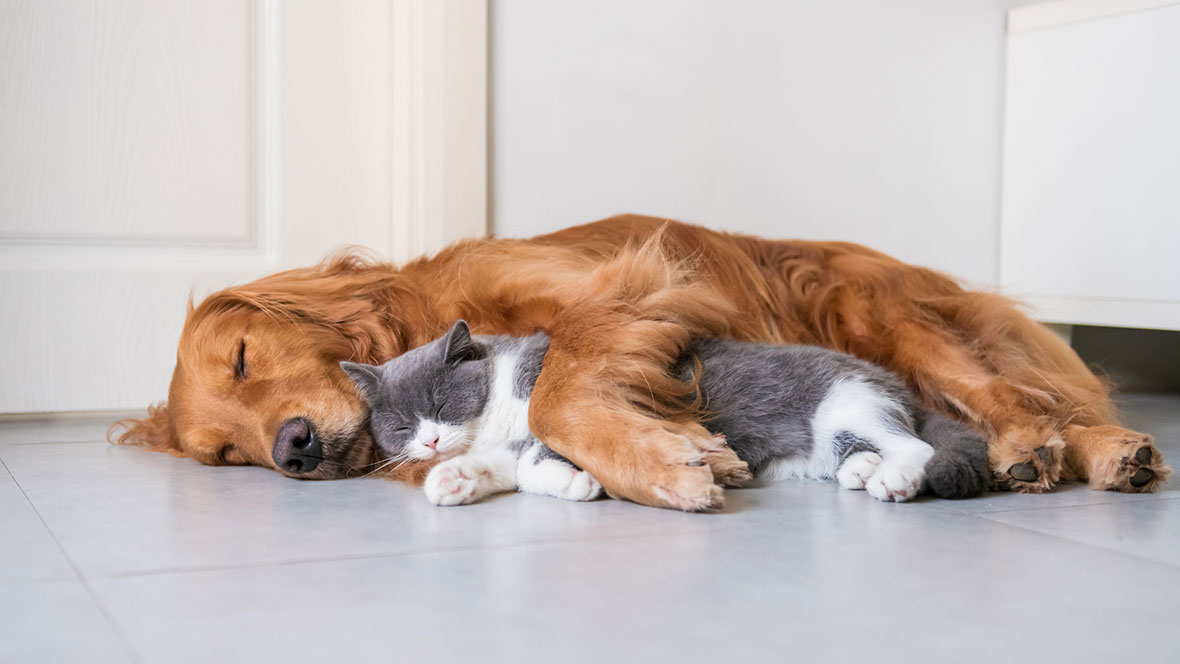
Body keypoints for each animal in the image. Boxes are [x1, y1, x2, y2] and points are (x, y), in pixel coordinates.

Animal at [342, 320, 986, 504]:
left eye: (439, 403)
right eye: (400, 425)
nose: (428, 442)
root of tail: (895, 381)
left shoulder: (572, 409)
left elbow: (533, 461)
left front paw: (578, 482)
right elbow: (506, 468)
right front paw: (452, 480)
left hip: (847, 403)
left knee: (917, 447)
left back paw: (894, 479)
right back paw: (862, 471)